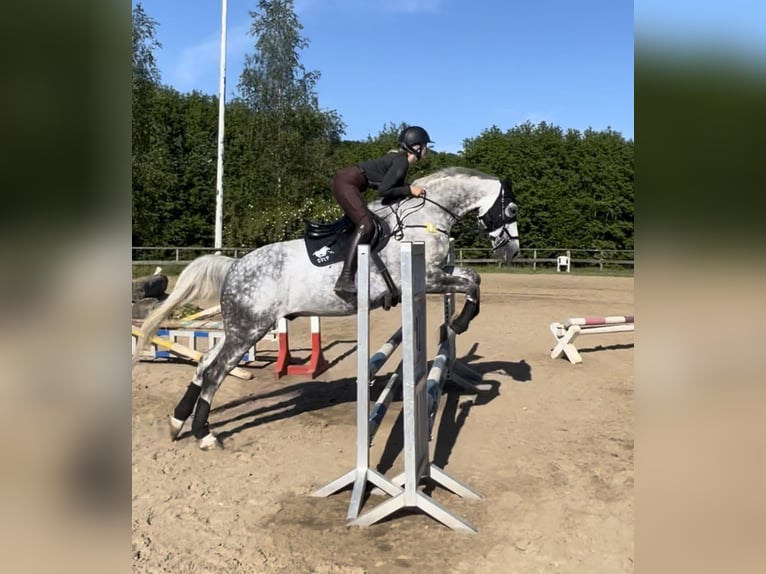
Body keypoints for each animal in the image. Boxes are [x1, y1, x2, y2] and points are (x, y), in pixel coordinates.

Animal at [136, 166, 520, 450]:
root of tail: (235, 265)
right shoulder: (427, 278)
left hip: (240, 329)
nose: (511, 252)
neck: (425, 216)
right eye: (512, 209)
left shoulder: (438, 274)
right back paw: (205, 434)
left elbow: (472, 277)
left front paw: (453, 325)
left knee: (203, 364)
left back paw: (177, 422)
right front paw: (459, 324)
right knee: (215, 372)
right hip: (249, 329)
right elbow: (470, 284)